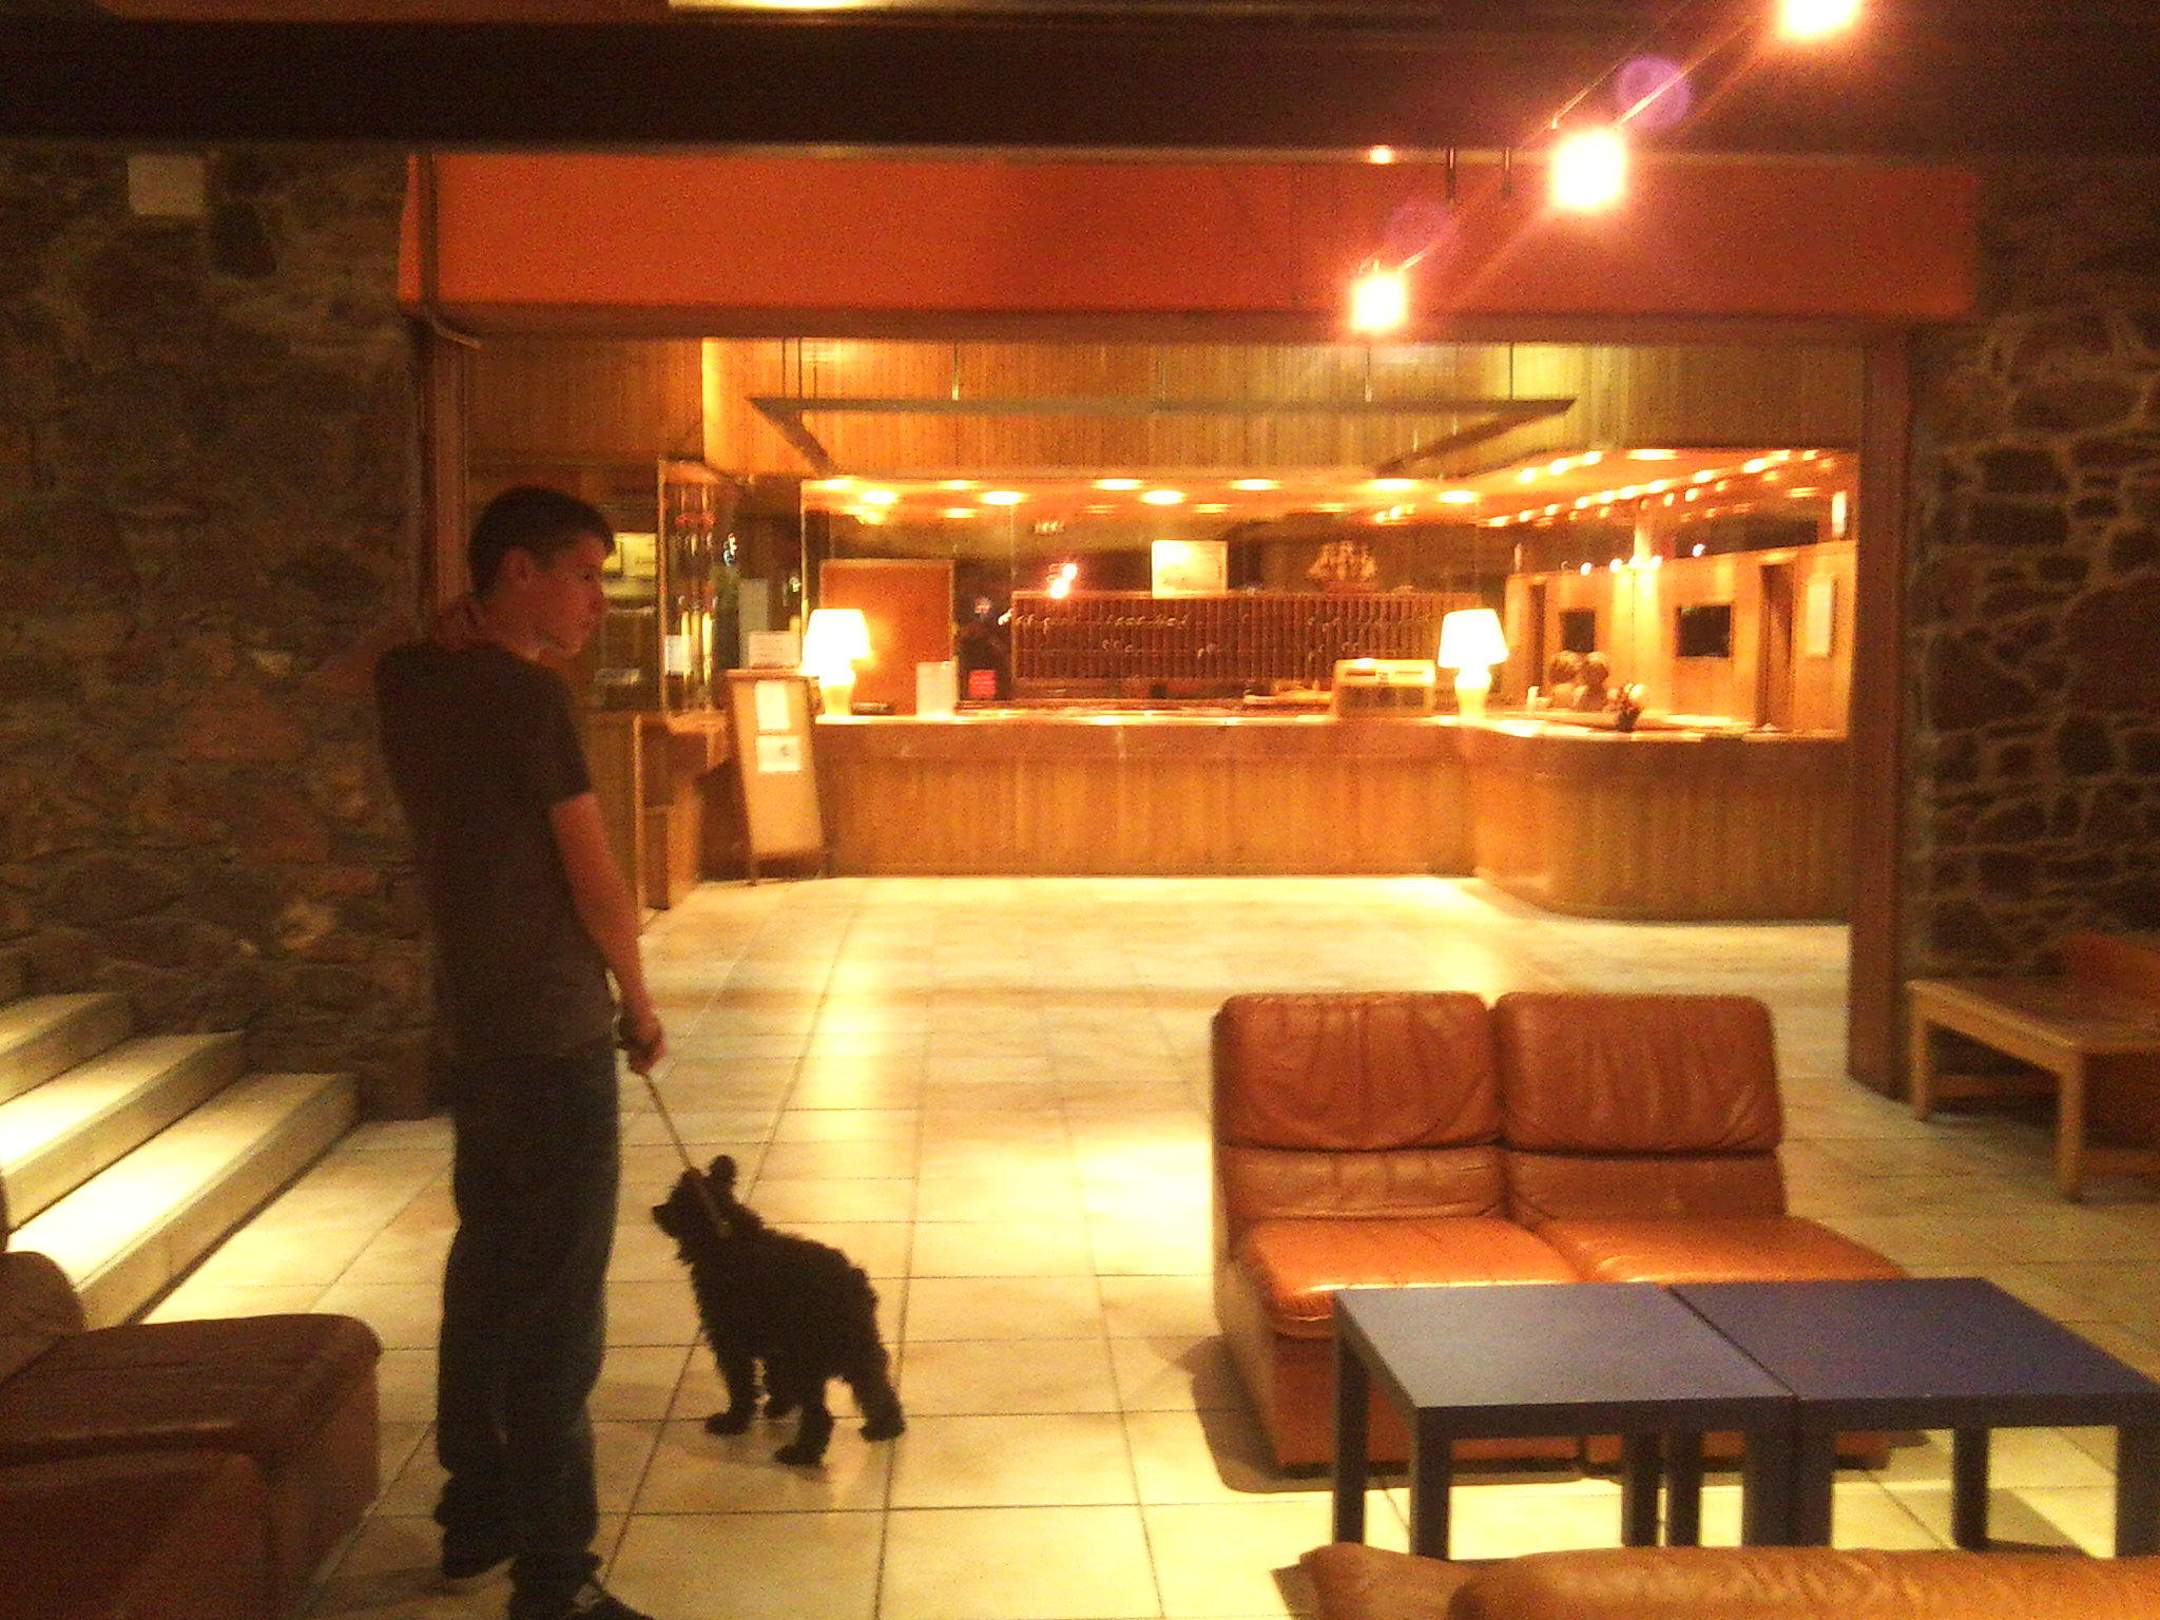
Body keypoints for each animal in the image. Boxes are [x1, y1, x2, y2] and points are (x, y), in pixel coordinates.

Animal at [651, 1153, 905, 1466]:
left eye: (676, 1201)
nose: (655, 1210)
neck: (729, 1237)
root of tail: (852, 1284)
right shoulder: (774, 1343)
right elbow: (773, 1376)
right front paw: (778, 1405)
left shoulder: (731, 1342)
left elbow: (741, 1385)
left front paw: (733, 1421)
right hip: (856, 1347)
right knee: (875, 1385)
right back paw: (886, 1427)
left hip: (807, 1357)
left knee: (821, 1414)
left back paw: (801, 1453)